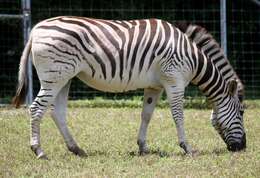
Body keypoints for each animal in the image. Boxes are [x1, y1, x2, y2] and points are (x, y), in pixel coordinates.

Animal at [12, 16, 246, 159]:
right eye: (242, 113)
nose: (242, 148)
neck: (194, 58)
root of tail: (35, 30)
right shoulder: (174, 80)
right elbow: (178, 116)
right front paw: (187, 147)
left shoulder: (154, 86)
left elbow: (146, 115)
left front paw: (143, 147)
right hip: (54, 76)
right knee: (36, 109)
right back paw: (39, 151)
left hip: (64, 77)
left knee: (57, 112)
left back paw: (77, 149)